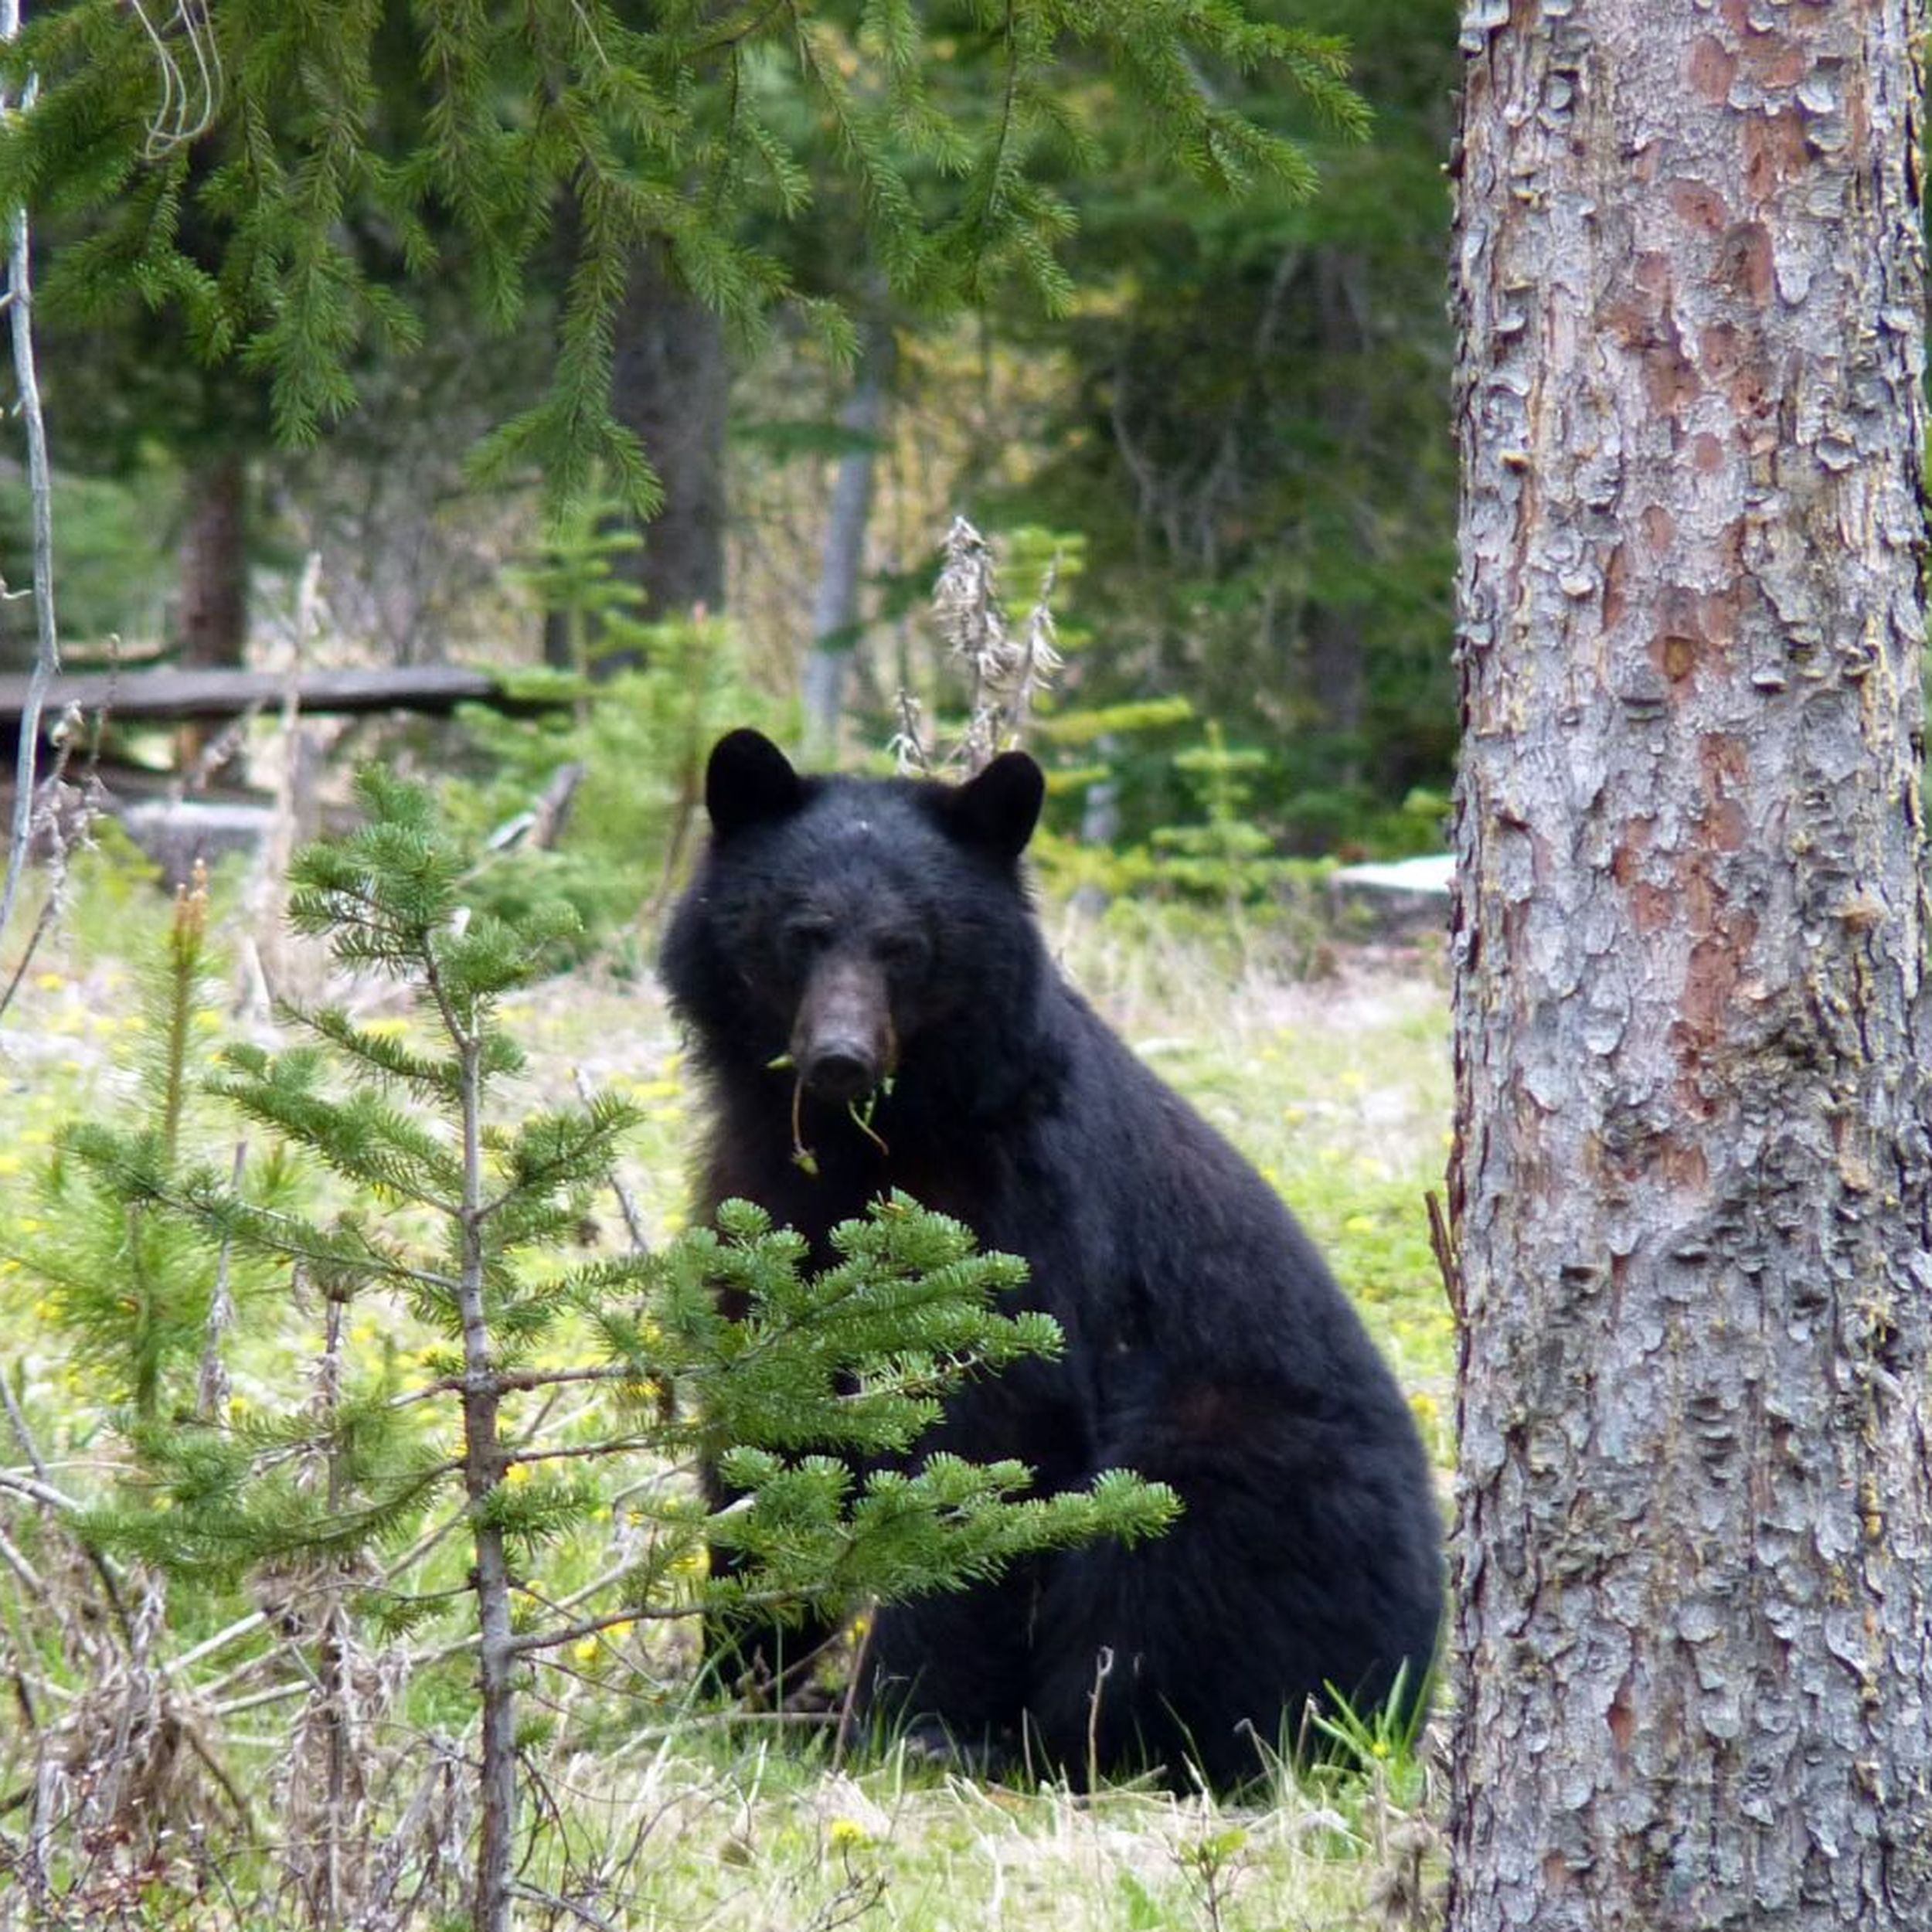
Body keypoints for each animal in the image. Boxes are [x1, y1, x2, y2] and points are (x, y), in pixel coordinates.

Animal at [661, 730, 1437, 1785]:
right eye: (803, 932)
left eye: (906, 945)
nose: (840, 1057)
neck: (873, 1145)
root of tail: (1417, 1676)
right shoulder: (762, 1206)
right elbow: (772, 1424)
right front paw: (734, 1681)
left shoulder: (1022, 1215)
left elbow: (990, 1447)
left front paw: (907, 1721)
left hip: (1231, 1468)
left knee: (1159, 1581)